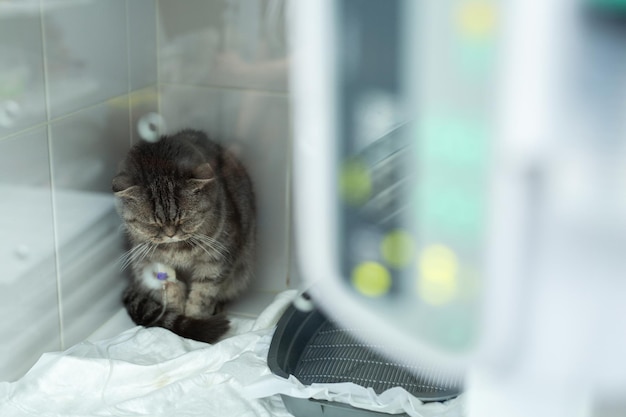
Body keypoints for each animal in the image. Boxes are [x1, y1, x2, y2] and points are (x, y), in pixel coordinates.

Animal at [112, 128, 256, 342]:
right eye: (153, 224)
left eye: (184, 218)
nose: (171, 234)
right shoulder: (156, 266)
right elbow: (171, 295)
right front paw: (178, 322)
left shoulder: (216, 259)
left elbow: (202, 296)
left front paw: (195, 319)